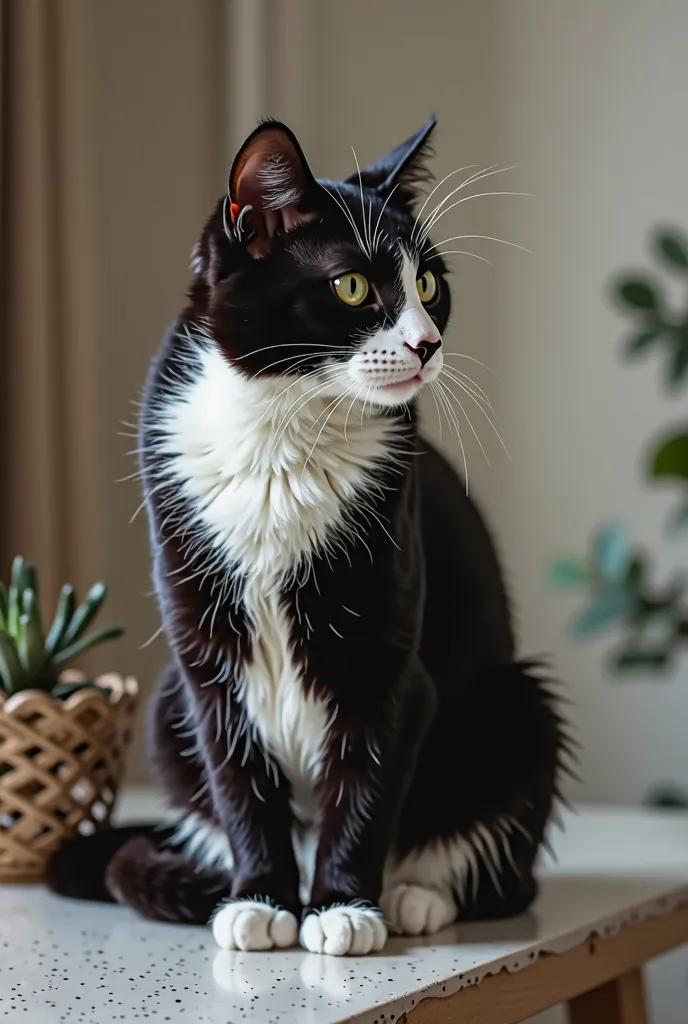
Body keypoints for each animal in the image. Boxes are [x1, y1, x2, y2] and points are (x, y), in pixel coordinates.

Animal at [47, 119, 569, 958]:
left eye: (429, 285)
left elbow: (368, 776)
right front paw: (261, 898)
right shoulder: (204, 658)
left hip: (515, 703)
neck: (283, 431)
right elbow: (237, 778)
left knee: (502, 868)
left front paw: (343, 908)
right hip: (165, 704)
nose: (427, 344)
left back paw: (417, 896)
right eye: (351, 286)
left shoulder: (388, 658)